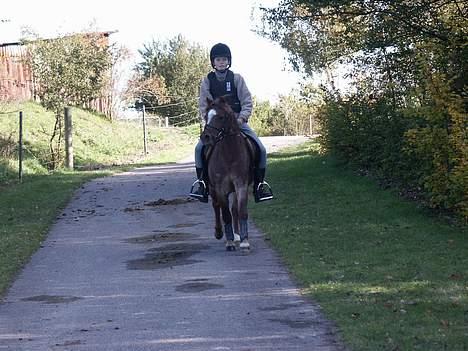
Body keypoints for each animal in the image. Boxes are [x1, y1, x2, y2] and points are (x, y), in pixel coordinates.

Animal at [198, 96, 256, 250]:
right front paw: (229, 242)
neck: (230, 153)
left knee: (234, 209)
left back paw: (237, 236)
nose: (205, 137)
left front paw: (244, 241)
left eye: (221, 117)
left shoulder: (241, 184)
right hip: (212, 188)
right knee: (216, 206)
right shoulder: (219, 187)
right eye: (206, 116)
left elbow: (241, 211)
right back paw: (220, 233)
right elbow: (225, 214)